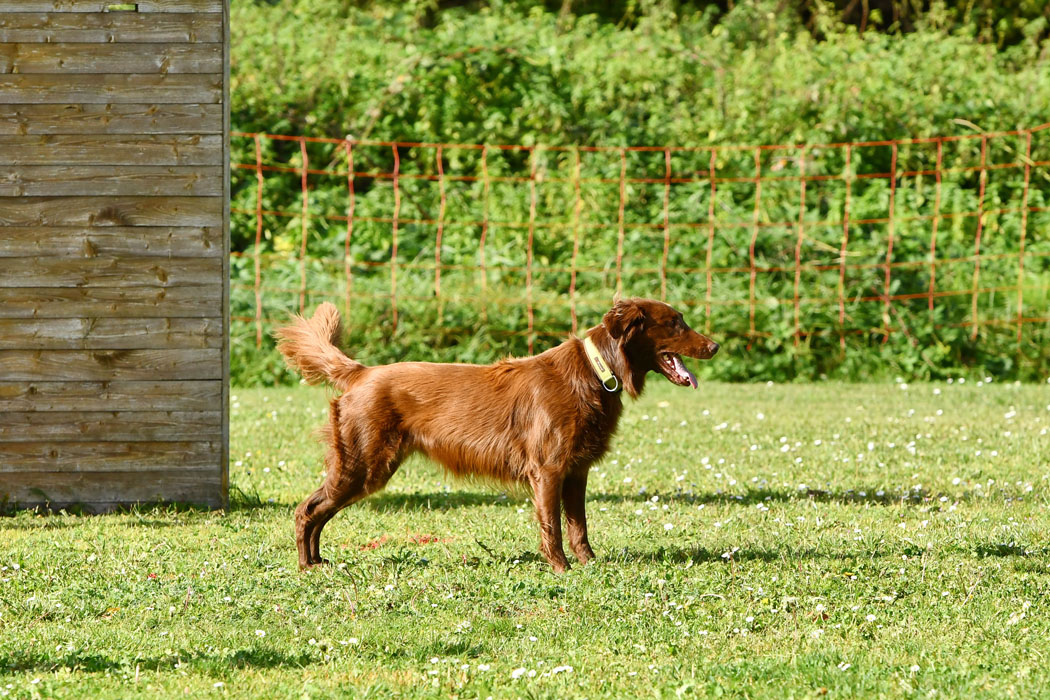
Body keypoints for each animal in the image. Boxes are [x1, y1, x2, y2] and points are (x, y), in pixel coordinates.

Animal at [275, 298, 718, 570]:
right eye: (675, 323)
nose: (714, 346)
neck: (596, 371)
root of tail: (361, 373)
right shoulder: (548, 469)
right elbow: (553, 526)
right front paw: (560, 568)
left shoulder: (576, 471)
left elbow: (579, 526)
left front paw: (589, 563)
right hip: (364, 464)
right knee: (307, 509)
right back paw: (307, 565)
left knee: (314, 510)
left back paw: (316, 562)